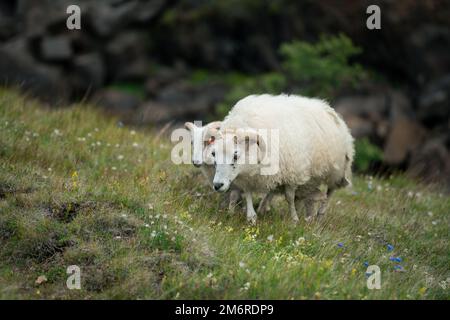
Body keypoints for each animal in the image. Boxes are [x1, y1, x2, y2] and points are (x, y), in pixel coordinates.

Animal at [211, 94, 356, 224]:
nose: (217, 185)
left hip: (337, 170)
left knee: (330, 192)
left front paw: (294, 220)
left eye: (235, 155)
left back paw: (320, 214)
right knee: (306, 197)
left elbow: (289, 197)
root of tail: (327, 107)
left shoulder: (292, 174)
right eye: (213, 154)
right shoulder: (249, 176)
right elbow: (247, 193)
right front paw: (251, 217)